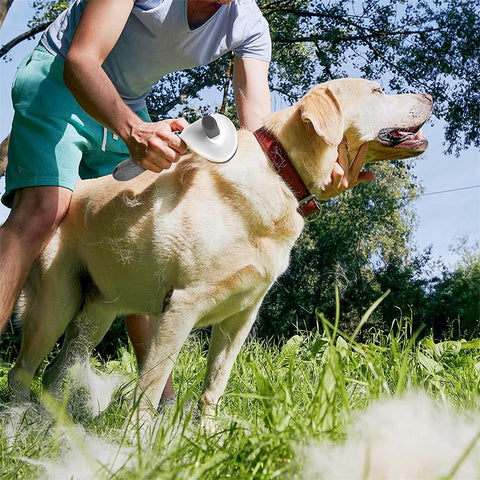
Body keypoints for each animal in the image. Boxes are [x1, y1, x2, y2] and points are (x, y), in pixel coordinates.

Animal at [9, 78, 434, 424]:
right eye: (378, 91)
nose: (430, 96)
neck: (281, 172)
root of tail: (72, 193)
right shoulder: (180, 307)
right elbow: (150, 387)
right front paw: (139, 444)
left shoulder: (240, 317)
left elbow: (214, 386)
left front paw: (208, 435)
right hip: (55, 306)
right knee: (22, 371)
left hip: (95, 316)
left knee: (57, 374)